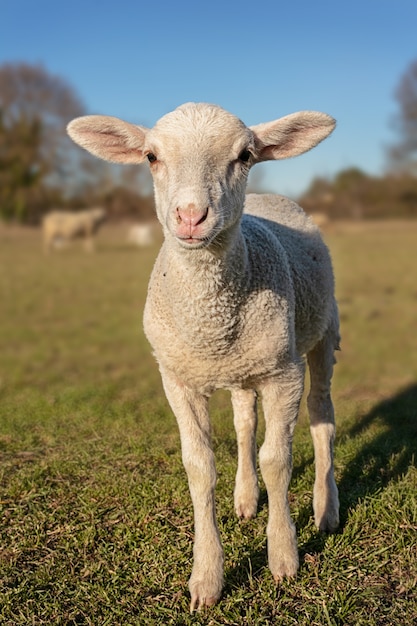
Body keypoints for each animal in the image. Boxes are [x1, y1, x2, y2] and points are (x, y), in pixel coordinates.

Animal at [68, 102, 340, 608]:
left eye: (245, 155)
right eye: (151, 156)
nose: (191, 216)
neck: (212, 320)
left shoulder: (284, 374)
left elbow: (278, 461)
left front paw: (283, 557)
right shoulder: (177, 379)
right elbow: (200, 468)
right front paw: (206, 578)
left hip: (321, 334)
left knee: (322, 417)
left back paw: (326, 507)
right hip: (244, 365)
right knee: (245, 422)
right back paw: (246, 497)